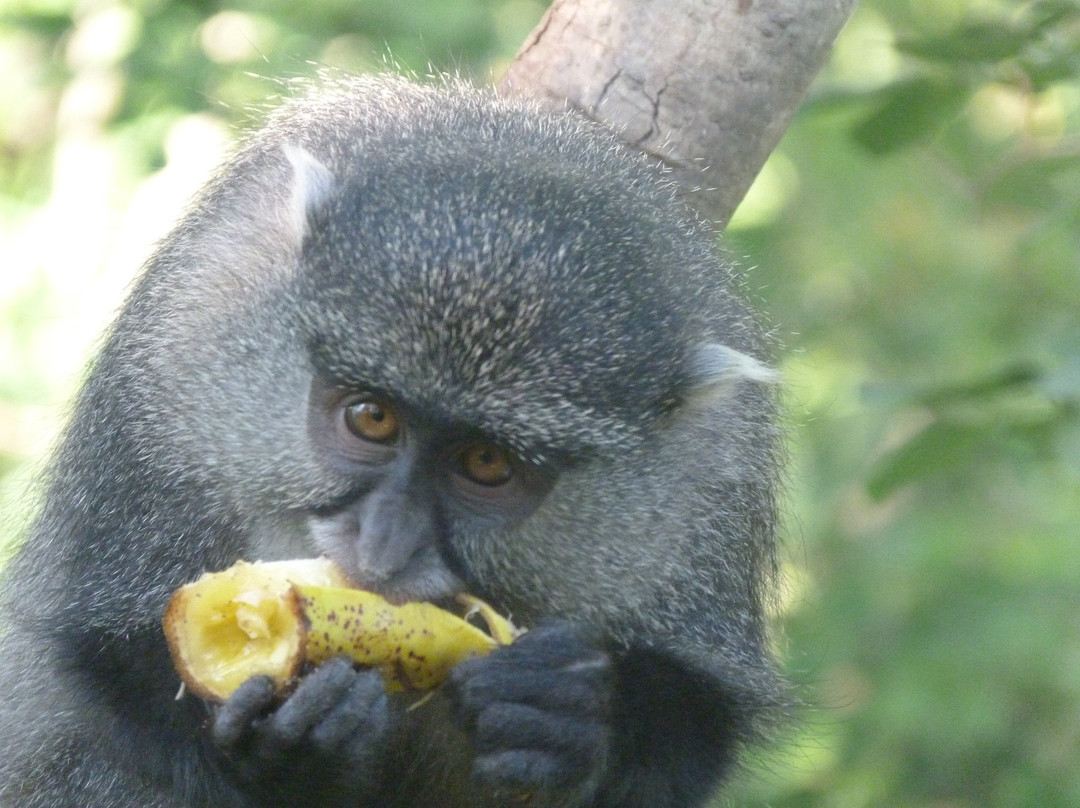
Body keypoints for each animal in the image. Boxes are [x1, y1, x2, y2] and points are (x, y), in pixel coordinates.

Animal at [0, 74, 784, 808]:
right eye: (371, 418)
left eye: (486, 462)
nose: (381, 547)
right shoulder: (176, 362)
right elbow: (119, 672)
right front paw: (293, 752)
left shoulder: (714, 476)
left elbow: (684, 733)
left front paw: (570, 719)